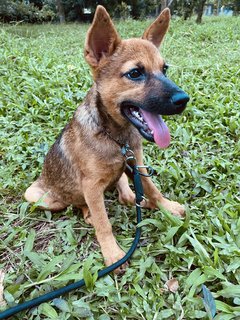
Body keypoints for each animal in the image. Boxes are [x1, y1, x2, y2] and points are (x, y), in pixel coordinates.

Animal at [24, 5, 189, 272]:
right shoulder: (91, 186)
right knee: (80, 204)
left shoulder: (137, 163)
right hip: (39, 196)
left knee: (125, 191)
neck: (116, 138)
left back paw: (138, 199)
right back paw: (90, 213)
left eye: (164, 69)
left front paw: (165, 205)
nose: (184, 100)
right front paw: (113, 254)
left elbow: (152, 187)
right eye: (135, 73)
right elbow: (104, 223)